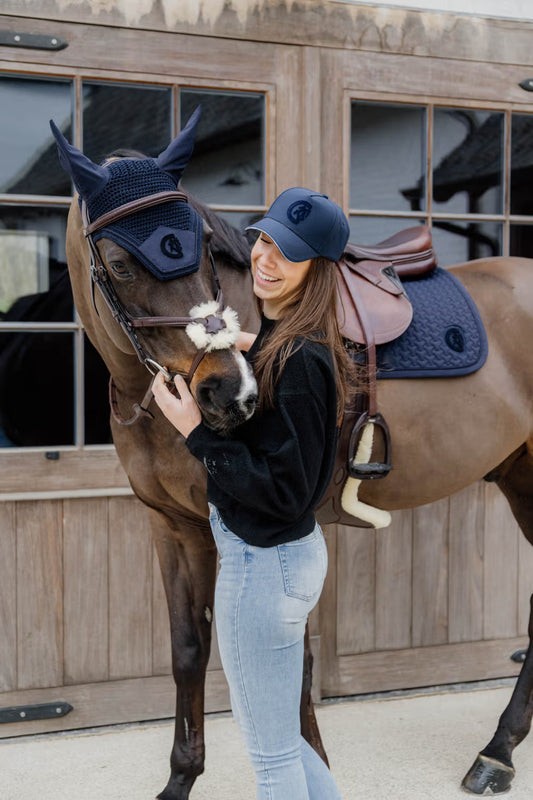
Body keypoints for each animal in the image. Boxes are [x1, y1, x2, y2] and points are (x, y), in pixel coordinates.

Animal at [52, 115, 533, 799]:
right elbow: (188, 650)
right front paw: (180, 778)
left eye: (201, 245)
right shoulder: (173, 526)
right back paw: (499, 750)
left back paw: (496, 751)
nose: (230, 391)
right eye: (119, 263)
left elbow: (294, 665)